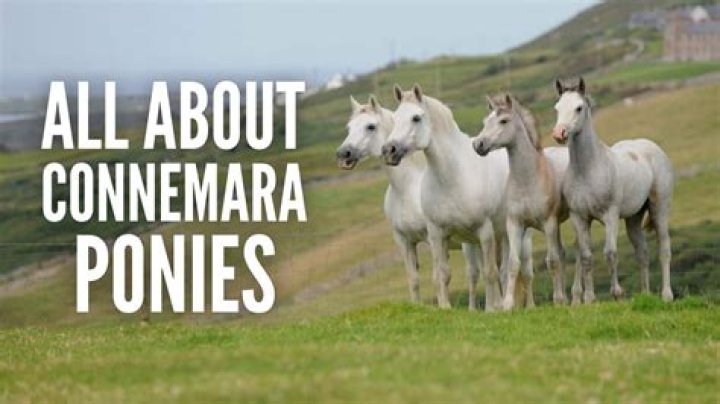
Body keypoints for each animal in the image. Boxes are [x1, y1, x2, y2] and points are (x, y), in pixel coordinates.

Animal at [336, 95, 483, 309]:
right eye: (349, 127)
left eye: (370, 126)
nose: (343, 154)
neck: (408, 187)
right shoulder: (404, 240)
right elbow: (413, 279)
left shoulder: (433, 237)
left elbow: (438, 276)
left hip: (469, 243)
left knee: (474, 273)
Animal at [382, 84, 533, 312]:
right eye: (396, 117)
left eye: (416, 118)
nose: (389, 150)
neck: (453, 176)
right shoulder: (437, 234)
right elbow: (442, 275)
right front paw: (445, 307)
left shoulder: (484, 231)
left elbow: (489, 273)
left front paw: (491, 310)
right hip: (499, 236)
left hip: (516, 234)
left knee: (518, 270)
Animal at [472, 93, 571, 309]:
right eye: (485, 121)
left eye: (504, 121)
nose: (478, 145)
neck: (528, 179)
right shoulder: (515, 224)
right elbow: (512, 264)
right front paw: (507, 305)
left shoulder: (548, 224)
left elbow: (552, 261)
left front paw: (558, 300)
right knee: (561, 254)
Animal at [552, 77, 674, 303]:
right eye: (557, 107)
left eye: (579, 108)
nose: (559, 134)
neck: (587, 169)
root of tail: (655, 149)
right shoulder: (579, 217)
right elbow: (586, 257)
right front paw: (590, 299)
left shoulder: (610, 215)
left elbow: (610, 253)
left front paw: (617, 293)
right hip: (634, 218)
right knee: (642, 253)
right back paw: (645, 294)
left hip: (659, 209)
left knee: (664, 249)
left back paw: (666, 295)